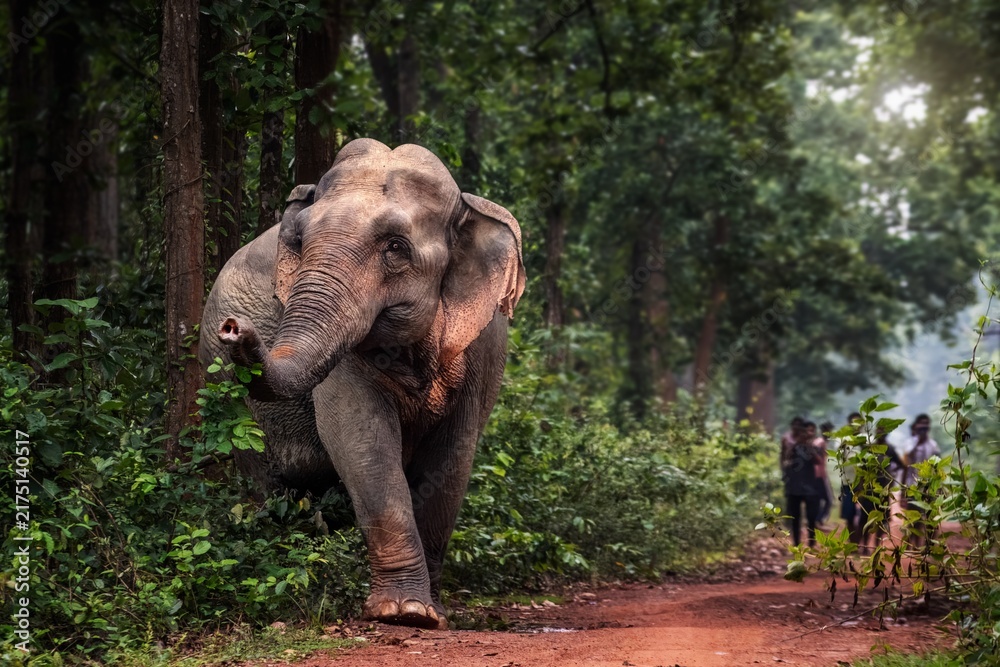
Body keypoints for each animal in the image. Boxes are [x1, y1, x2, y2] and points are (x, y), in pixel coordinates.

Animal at [199, 138, 525, 630]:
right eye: (299, 242)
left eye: (395, 247)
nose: (235, 328)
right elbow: (360, 436)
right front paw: (403, 611)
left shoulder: (486, 341)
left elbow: (454, 453)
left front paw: (428, 614)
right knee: (267, 483)